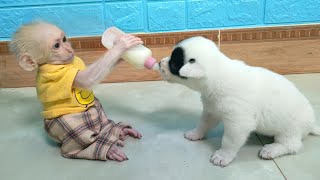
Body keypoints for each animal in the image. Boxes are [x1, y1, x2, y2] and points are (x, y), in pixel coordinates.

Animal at [8, 21, 142, 162]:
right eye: (56, 45)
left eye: (64, 39)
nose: (68, 48)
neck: (61, 63)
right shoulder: (56, 73)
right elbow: (86, 79)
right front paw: (121, 44)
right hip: (64, 126)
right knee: (80, 137)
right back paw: (108, 148)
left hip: (98, 110)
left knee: (103, 122)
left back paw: (119, 131)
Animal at [160, 36, 320, 167]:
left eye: (174, 63)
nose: (160, 63)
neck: (218, 75)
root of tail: (311, 124)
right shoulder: (212, 111)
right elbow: (203, 124)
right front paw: (195, 134)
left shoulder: (238, 123)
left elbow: (229, 141)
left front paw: (223, 156)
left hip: (290, 130)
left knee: (292, 145)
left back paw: (271, 149)